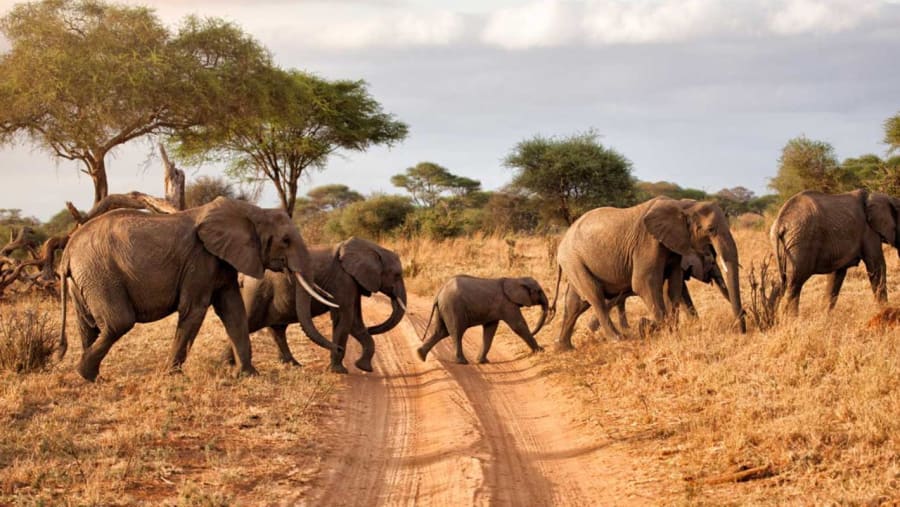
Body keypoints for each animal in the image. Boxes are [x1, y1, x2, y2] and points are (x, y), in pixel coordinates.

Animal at [57, 197, 340, 381]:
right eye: (286, 240)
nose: (338, 351)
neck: (252, 212)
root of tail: (68, 250)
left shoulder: (223, 260)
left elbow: (234, 311)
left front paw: (248, 375)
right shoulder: (200, 259)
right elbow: (194, 309)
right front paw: (171, 375)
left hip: (84, 279)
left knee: (88, 325)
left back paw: (91, 377)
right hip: (101, 274)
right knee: (118, 322)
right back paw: (84, 373)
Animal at [228, 237, 407, 373]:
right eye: (397, 275)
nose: (372, 328)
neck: (374, 248)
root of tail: (243, 275)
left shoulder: (353, 282)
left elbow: (355, 322)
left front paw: (363, 368)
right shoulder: (343, 281)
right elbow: (345, 319)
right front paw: (340, 371)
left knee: (277, 329)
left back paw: (292, 365)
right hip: (257, 291)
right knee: (249, 322)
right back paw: (230, 365)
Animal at [417, 275, 548, 364]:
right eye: (539, 291)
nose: (534, 332)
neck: (515, 279)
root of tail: (439, 293)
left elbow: (490, 330)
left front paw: (482, 361)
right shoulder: (507, 304)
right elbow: (518, 325)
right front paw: (541, 350)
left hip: (443, 308)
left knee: (441, 332)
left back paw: (420, 356)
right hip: (453, 307)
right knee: (456, 332)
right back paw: (463, 362)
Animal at [553, 197, 745, 349]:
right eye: (711, 229)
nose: (742, 331)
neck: (682, 204)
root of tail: (562, 242)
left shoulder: (675, 247)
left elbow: (674, 286)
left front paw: (670, 329)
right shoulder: (648, 242)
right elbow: (644, 283)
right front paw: (650, 327)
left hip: (575, 262)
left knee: (575, 303)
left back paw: (563, 348)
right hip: (573, 260)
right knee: (595, 296)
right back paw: (618, 339)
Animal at [771, 189, 900, 316]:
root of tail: (780, 223)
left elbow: (836, 275)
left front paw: (825, 317)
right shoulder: (869, 231)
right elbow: (877, 266)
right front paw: (886, 310)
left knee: (781, 282)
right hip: (800, 242)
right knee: (794, 283)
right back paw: (792, 319)